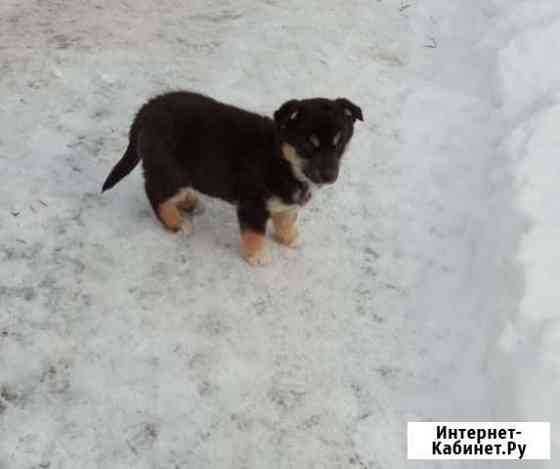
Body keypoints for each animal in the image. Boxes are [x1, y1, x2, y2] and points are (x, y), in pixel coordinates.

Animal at [101, 91, 364, 266]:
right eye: (308, 145)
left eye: (339, 143)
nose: (330, 176)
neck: (281, 159)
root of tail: (145, 110)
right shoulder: (252, 205)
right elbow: (255, 234)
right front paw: (257, 256)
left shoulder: (286, 205)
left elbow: (287, 221)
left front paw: (289, 239)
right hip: (169, 170)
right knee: (155, 192)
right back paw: (176, 223)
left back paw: (189, 202)